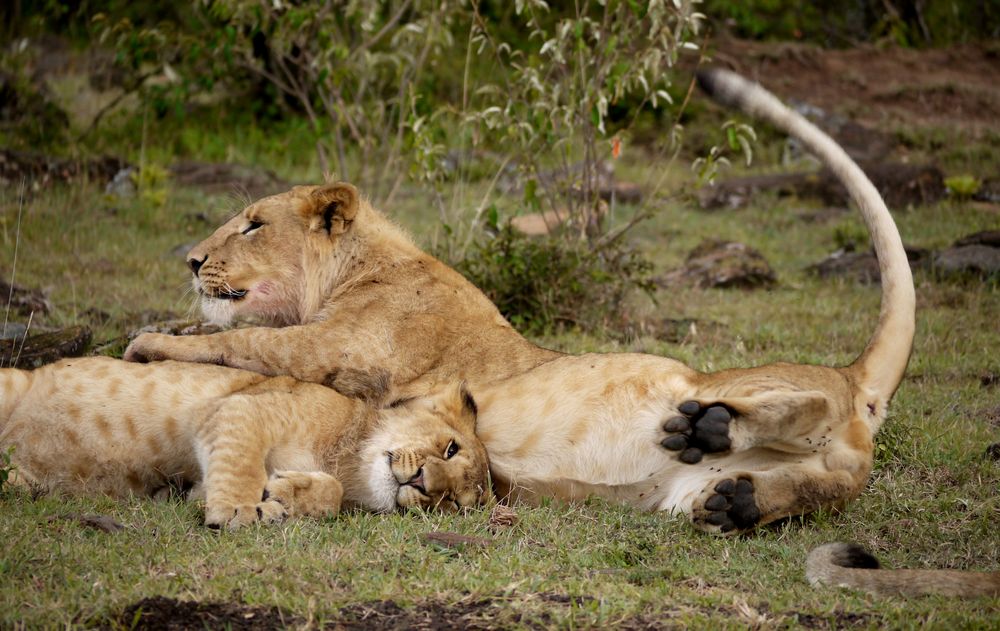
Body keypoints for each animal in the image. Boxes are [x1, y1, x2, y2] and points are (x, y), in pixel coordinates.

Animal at [0, 356, 486, 528]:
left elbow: (329, 496)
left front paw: (284, 496)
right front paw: (238, 509)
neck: (347, 461)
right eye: (449, 448)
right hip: (11, 382)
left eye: (451, 502)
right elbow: (243, 460)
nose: (424, 482)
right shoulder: (238, 408)